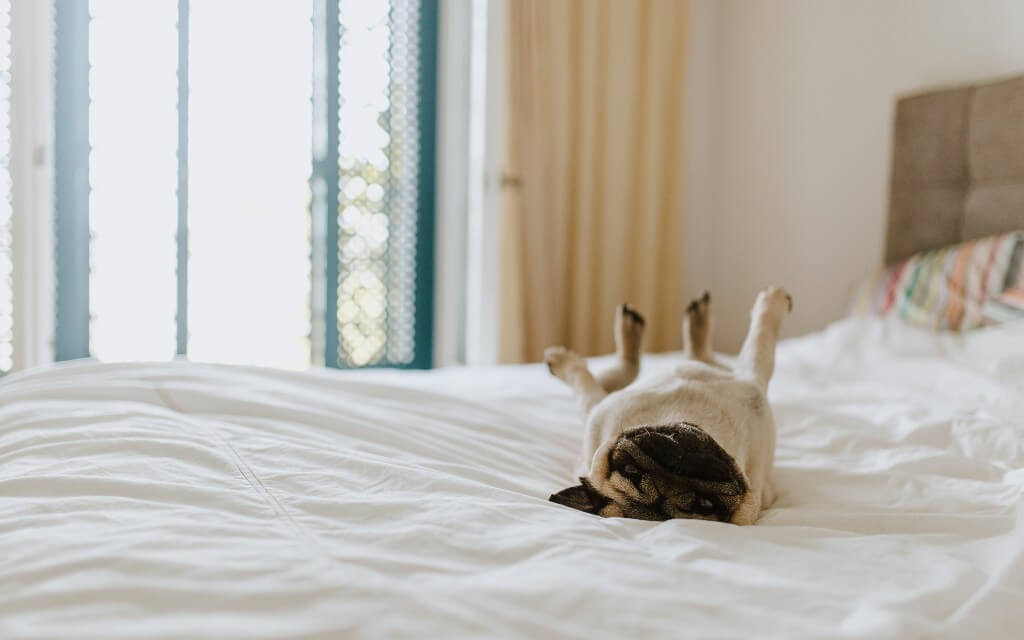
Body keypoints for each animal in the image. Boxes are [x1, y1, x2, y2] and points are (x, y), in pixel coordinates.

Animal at [544, 286, 790, 522]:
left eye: (630, 469)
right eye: (705, 504)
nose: (677, 468)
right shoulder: (751, 378)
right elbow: (761, 341)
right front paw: (772, 303)